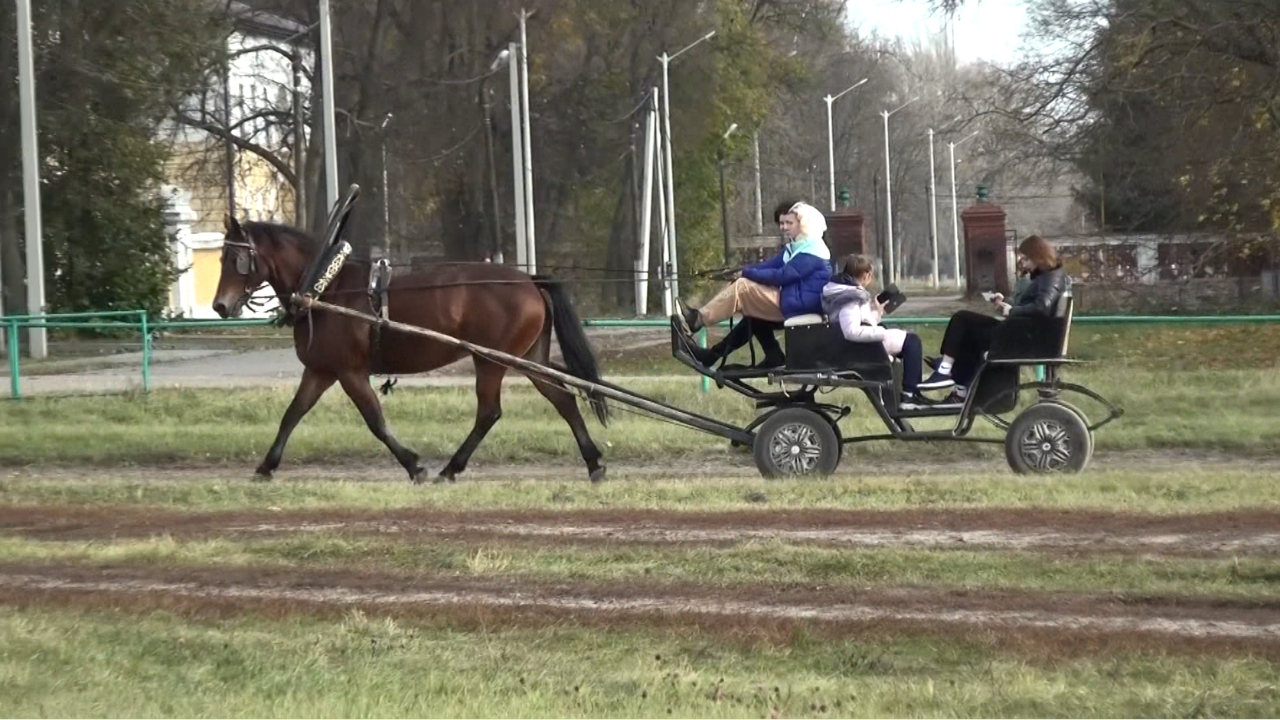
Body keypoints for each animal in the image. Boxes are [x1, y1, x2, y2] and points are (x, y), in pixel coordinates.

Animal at [211, 215, 609, 479]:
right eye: (221, 258)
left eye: (235, 258)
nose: (220, 306)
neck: (326, 287)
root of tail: (529, 281)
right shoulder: (321, 370)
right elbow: (293, 414)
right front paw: (266, 465)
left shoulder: (349, 371)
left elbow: (375, 420)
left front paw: (413, 464)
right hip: (526, 357)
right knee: (562, 399)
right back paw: (593, 461)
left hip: (491, 360)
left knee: (489, 412)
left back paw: (452, 467)